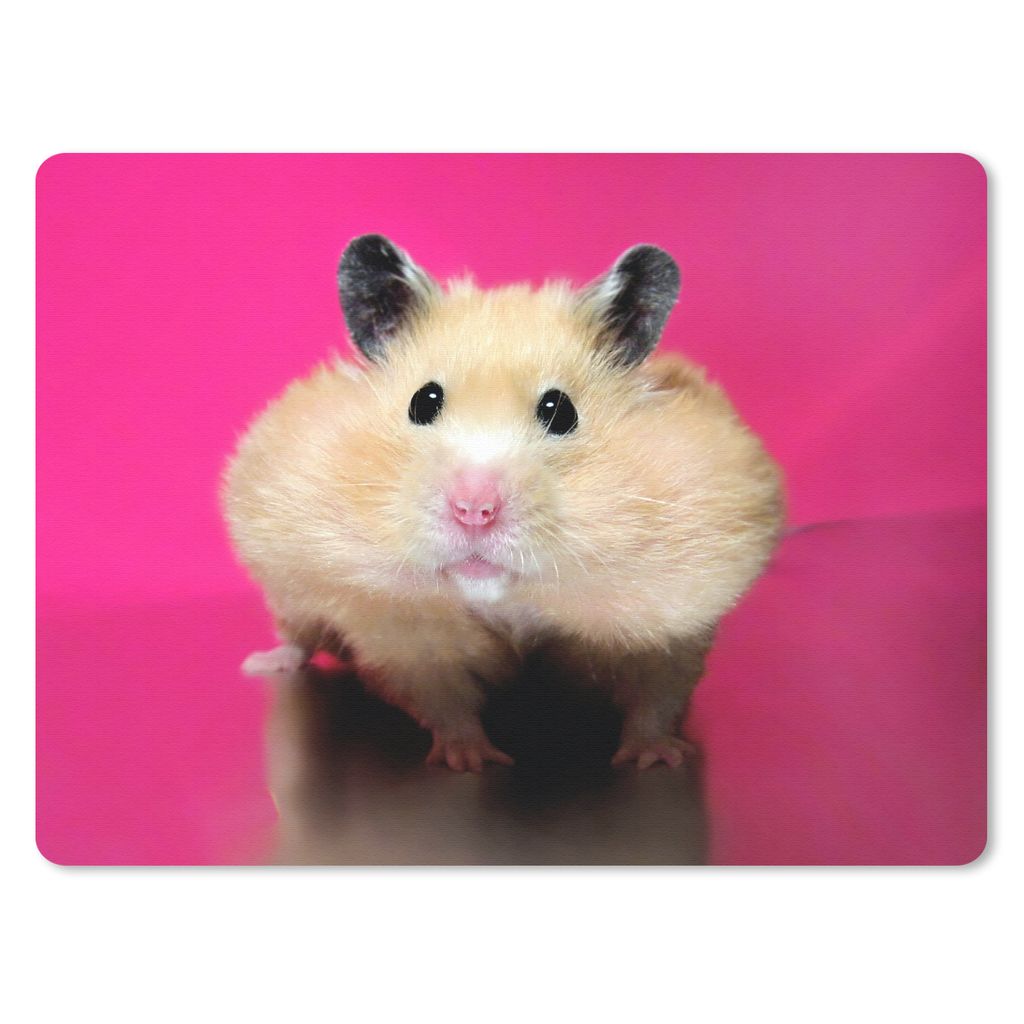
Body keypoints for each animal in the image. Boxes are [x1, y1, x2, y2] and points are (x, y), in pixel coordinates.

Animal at [223, 235, 783, 772]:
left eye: (560, 411)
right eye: (423, 401)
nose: (475, 510)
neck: (507, 598)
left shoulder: (668, 625)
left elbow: (657, 696)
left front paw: (656, 758)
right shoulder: (408, 636)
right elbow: (444, 700)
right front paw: (471, 761)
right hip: (290, 593)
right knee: (299, 633)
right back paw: (264, 662)